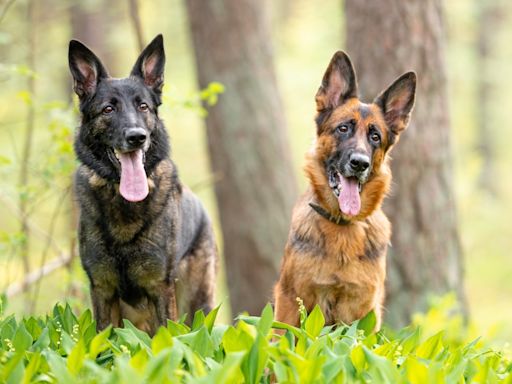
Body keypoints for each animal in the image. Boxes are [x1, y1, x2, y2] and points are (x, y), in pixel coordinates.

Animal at [69, 36, 217, 336]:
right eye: (109, 109)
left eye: (143, 107)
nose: (137, 137)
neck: (124, 204)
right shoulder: (103, 290)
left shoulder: (159, 288)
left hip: (199, 304)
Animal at [274, 50, 414, 330]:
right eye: (343, 128)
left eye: (375, 137)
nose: (359, 163)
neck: (341, 226)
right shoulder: (289, 301)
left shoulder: (364, 312)